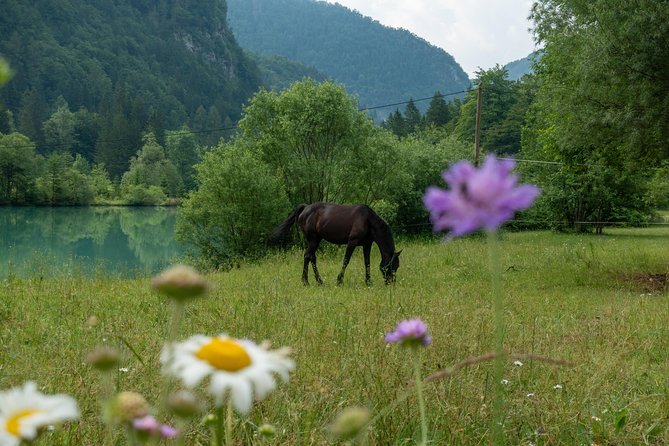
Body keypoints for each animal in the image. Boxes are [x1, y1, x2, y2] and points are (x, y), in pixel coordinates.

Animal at [272, 203, 402, 286]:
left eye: (397, 266)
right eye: (393, 266)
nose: (391, 283)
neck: (367, 220)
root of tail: (305, 208)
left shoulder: (367, 244)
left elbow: (367, 263)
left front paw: (368, 282)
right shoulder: (352, 242)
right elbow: (346, 260)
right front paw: (339, 281)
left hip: (317, 240)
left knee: (311, 258)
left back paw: (318, 281)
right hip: (312, 240)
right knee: (308, 256)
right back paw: (307, 281)